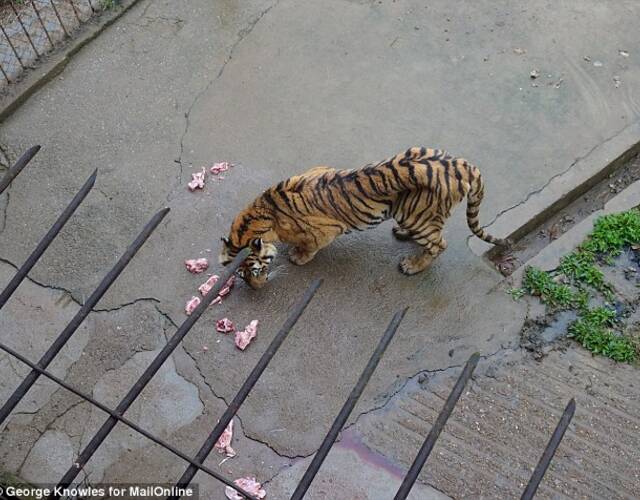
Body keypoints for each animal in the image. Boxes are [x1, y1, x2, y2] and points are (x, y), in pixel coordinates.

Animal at [222, 147, 508, 290]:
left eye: (253, 271)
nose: (254, 288)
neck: (263, 214)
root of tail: (464, 166)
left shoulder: (325, 232)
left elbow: (309, 247)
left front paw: (297, 257)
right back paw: (402, 235)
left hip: (415, 214)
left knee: (439, 244)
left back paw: (412, 266)